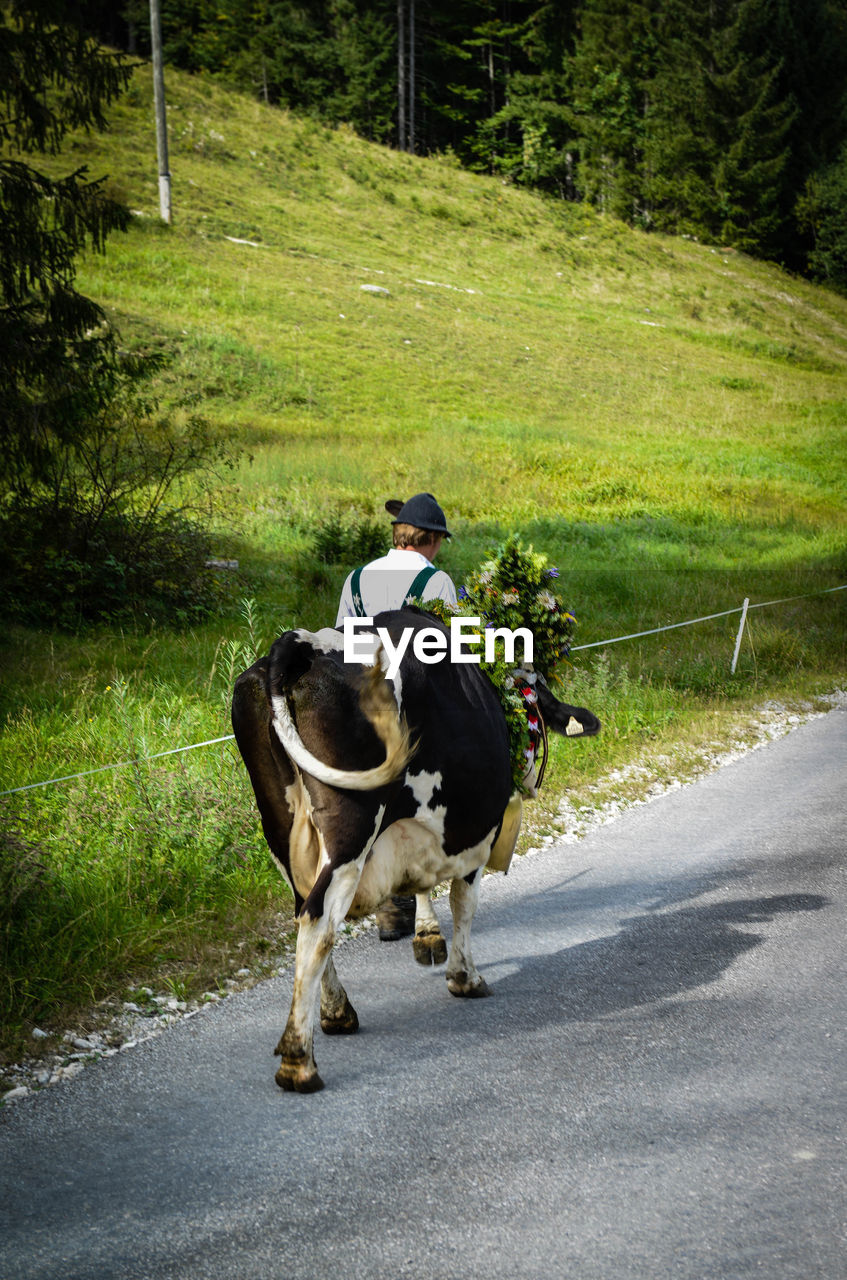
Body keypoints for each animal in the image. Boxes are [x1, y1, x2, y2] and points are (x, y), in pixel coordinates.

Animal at [232, 609, 601, 1090]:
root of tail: (300, 643)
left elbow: (422, 881)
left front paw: (427, 936)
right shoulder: (475, 832)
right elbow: (464, 901)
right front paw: (465, 977)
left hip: (280, 831)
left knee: (302, 913)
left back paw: (336, 1013)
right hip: (351, 828)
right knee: (319, 921)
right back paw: (299, 1060)